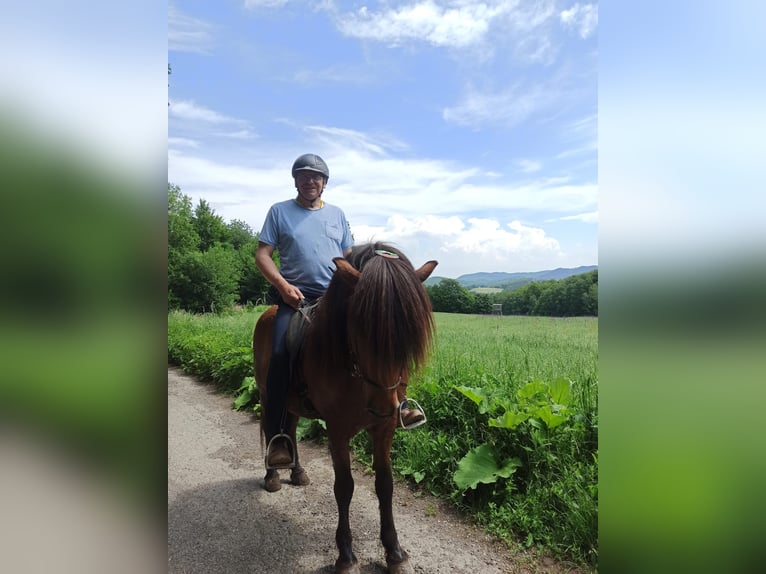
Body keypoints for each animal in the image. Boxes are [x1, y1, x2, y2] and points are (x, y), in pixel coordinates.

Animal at [252, 242, 438, 574]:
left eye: (409, 335)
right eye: (361, 327)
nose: (384, 406)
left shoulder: (384, 429)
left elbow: (385, 484)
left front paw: (394, 552)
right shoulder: (337, 430)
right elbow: (344, 487)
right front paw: (346, 555)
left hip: (294, 405)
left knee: (290, 429)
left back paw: (297, 471)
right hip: (266, 393)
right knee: (272, 426)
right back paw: (273, 472)